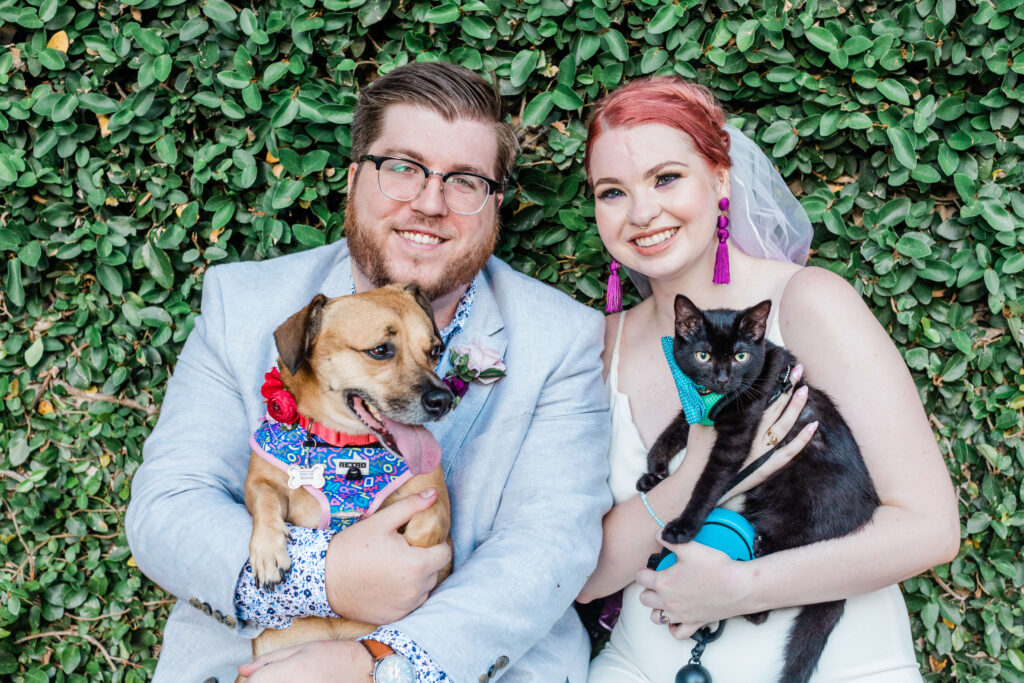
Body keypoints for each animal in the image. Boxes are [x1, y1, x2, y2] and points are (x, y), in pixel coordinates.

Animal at [243, 280, 452, 659]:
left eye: (434, 350)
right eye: (381, 350)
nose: (444, 401)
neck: (345, 444)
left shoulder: (437, 504)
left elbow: (424, 528)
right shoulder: (257, 480)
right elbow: (265, 498)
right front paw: (268, 553)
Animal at [638, 294, 880, 683]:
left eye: (740, 356)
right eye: (703, 355)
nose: (722, 377)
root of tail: (856, 522)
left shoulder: (738, 437)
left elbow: (710, 481)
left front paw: (683, 528)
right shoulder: (700, 411)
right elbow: (678, 426)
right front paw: (654, 472)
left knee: (761, 601)